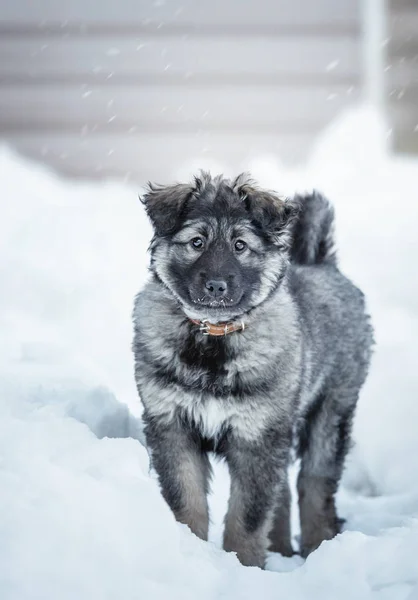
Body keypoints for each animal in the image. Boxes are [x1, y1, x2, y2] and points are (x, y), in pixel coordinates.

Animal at [131, 172, 372, 568]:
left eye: (240, 245)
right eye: (196, 242)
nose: (216, 286)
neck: (214, 337)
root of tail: (323, 263)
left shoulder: (256, 435)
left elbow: (247, 515)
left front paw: (242, 565)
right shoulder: (173, 425)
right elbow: (186, 500)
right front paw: (189, 550)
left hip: (330, 410)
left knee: (315, 484)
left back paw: (318, 547)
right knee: (285, 491)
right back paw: (281, 550)